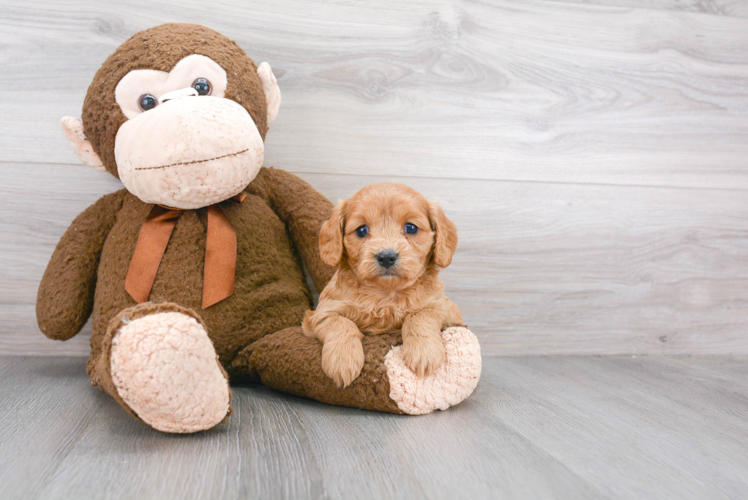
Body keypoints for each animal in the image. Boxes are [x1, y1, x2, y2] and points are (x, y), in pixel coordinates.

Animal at [304, 183, 462, 386]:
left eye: (411, 228)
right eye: (361, 230)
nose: (386, 256)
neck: (385, 294)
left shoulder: (444, 307)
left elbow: (419, 314)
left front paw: (423, 353)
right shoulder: (322, 312)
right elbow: (341, 323)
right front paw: (342, 361)